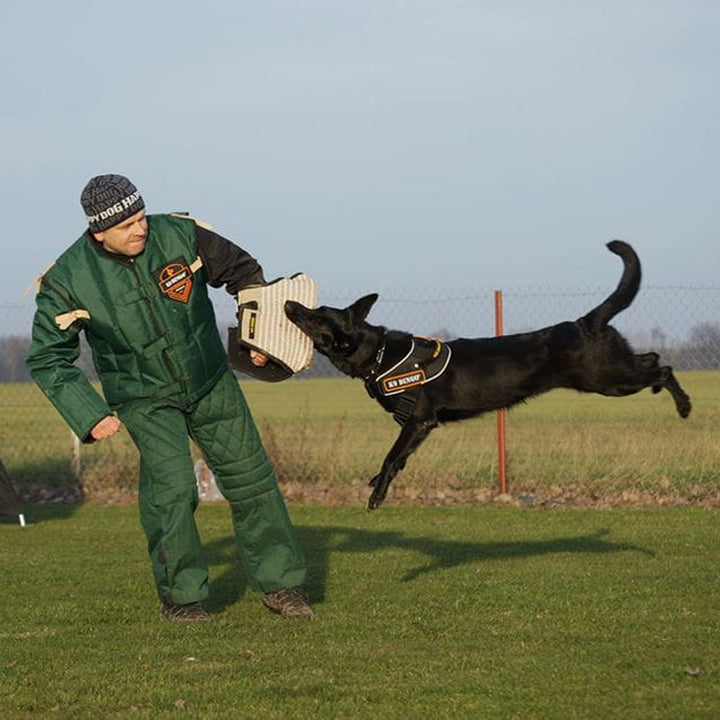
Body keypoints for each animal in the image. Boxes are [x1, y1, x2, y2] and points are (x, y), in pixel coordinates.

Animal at [286, 243, 692, 512]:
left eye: (317, 316)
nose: (289, 303)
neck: (381, 354)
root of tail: (586, 322)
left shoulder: (419, 421)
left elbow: (390, 457)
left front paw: (377, 494)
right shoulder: (415, 428)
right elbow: (399, 458)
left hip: (607, 379)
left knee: (662, 366)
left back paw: (684, 405)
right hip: (612, 371)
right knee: (654, 358)